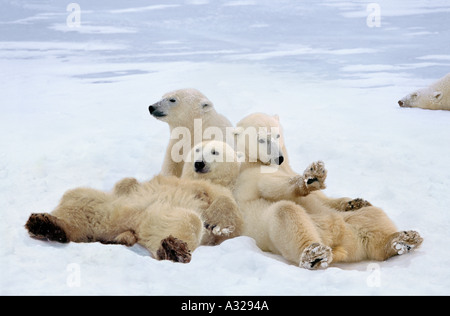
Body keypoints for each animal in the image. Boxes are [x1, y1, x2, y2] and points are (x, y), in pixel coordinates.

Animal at [25, 140, 243, 262]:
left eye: (215, 152)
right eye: (197, 150)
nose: (199, 163)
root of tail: (122, 228)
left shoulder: (218, 191)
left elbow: (226, 206)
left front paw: (218, 224)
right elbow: (128, 184)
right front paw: (127, 183)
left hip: (154, 217)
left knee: (188, 220)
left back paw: (174, 249)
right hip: (107, 206)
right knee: (78, 198)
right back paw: (46, 223)